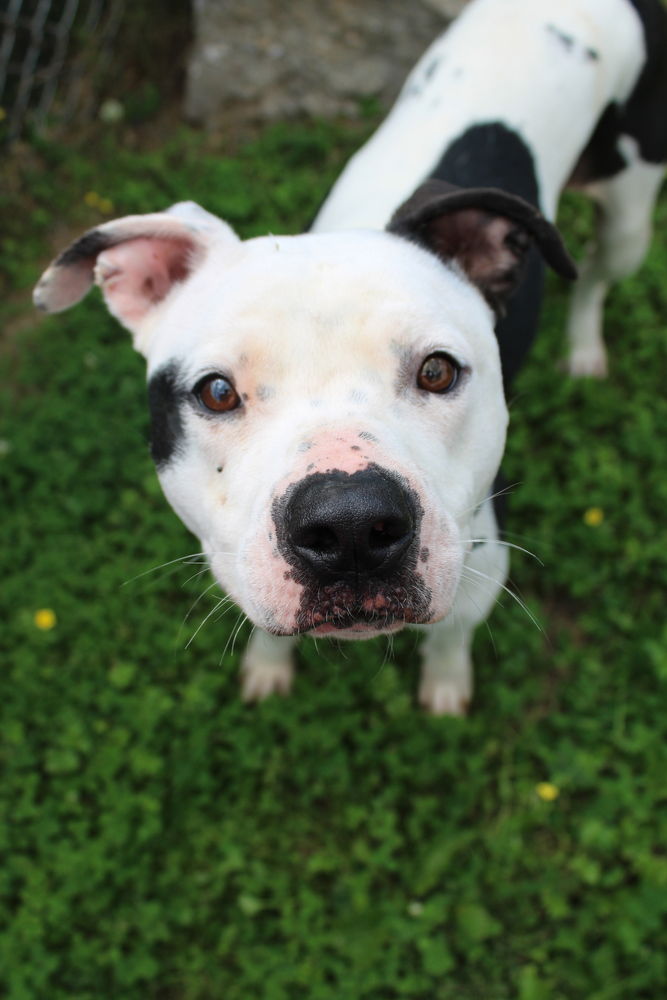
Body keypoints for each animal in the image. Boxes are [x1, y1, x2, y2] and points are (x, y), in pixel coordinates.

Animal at [35, 0, 667, 712]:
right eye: (217, 392)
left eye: (437, 371)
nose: (351, 526)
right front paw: (268, 669)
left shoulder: (480, 563)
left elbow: (451, 635)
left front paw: (446, 685)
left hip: (631, 216)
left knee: (594, 277)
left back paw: (584, 348)